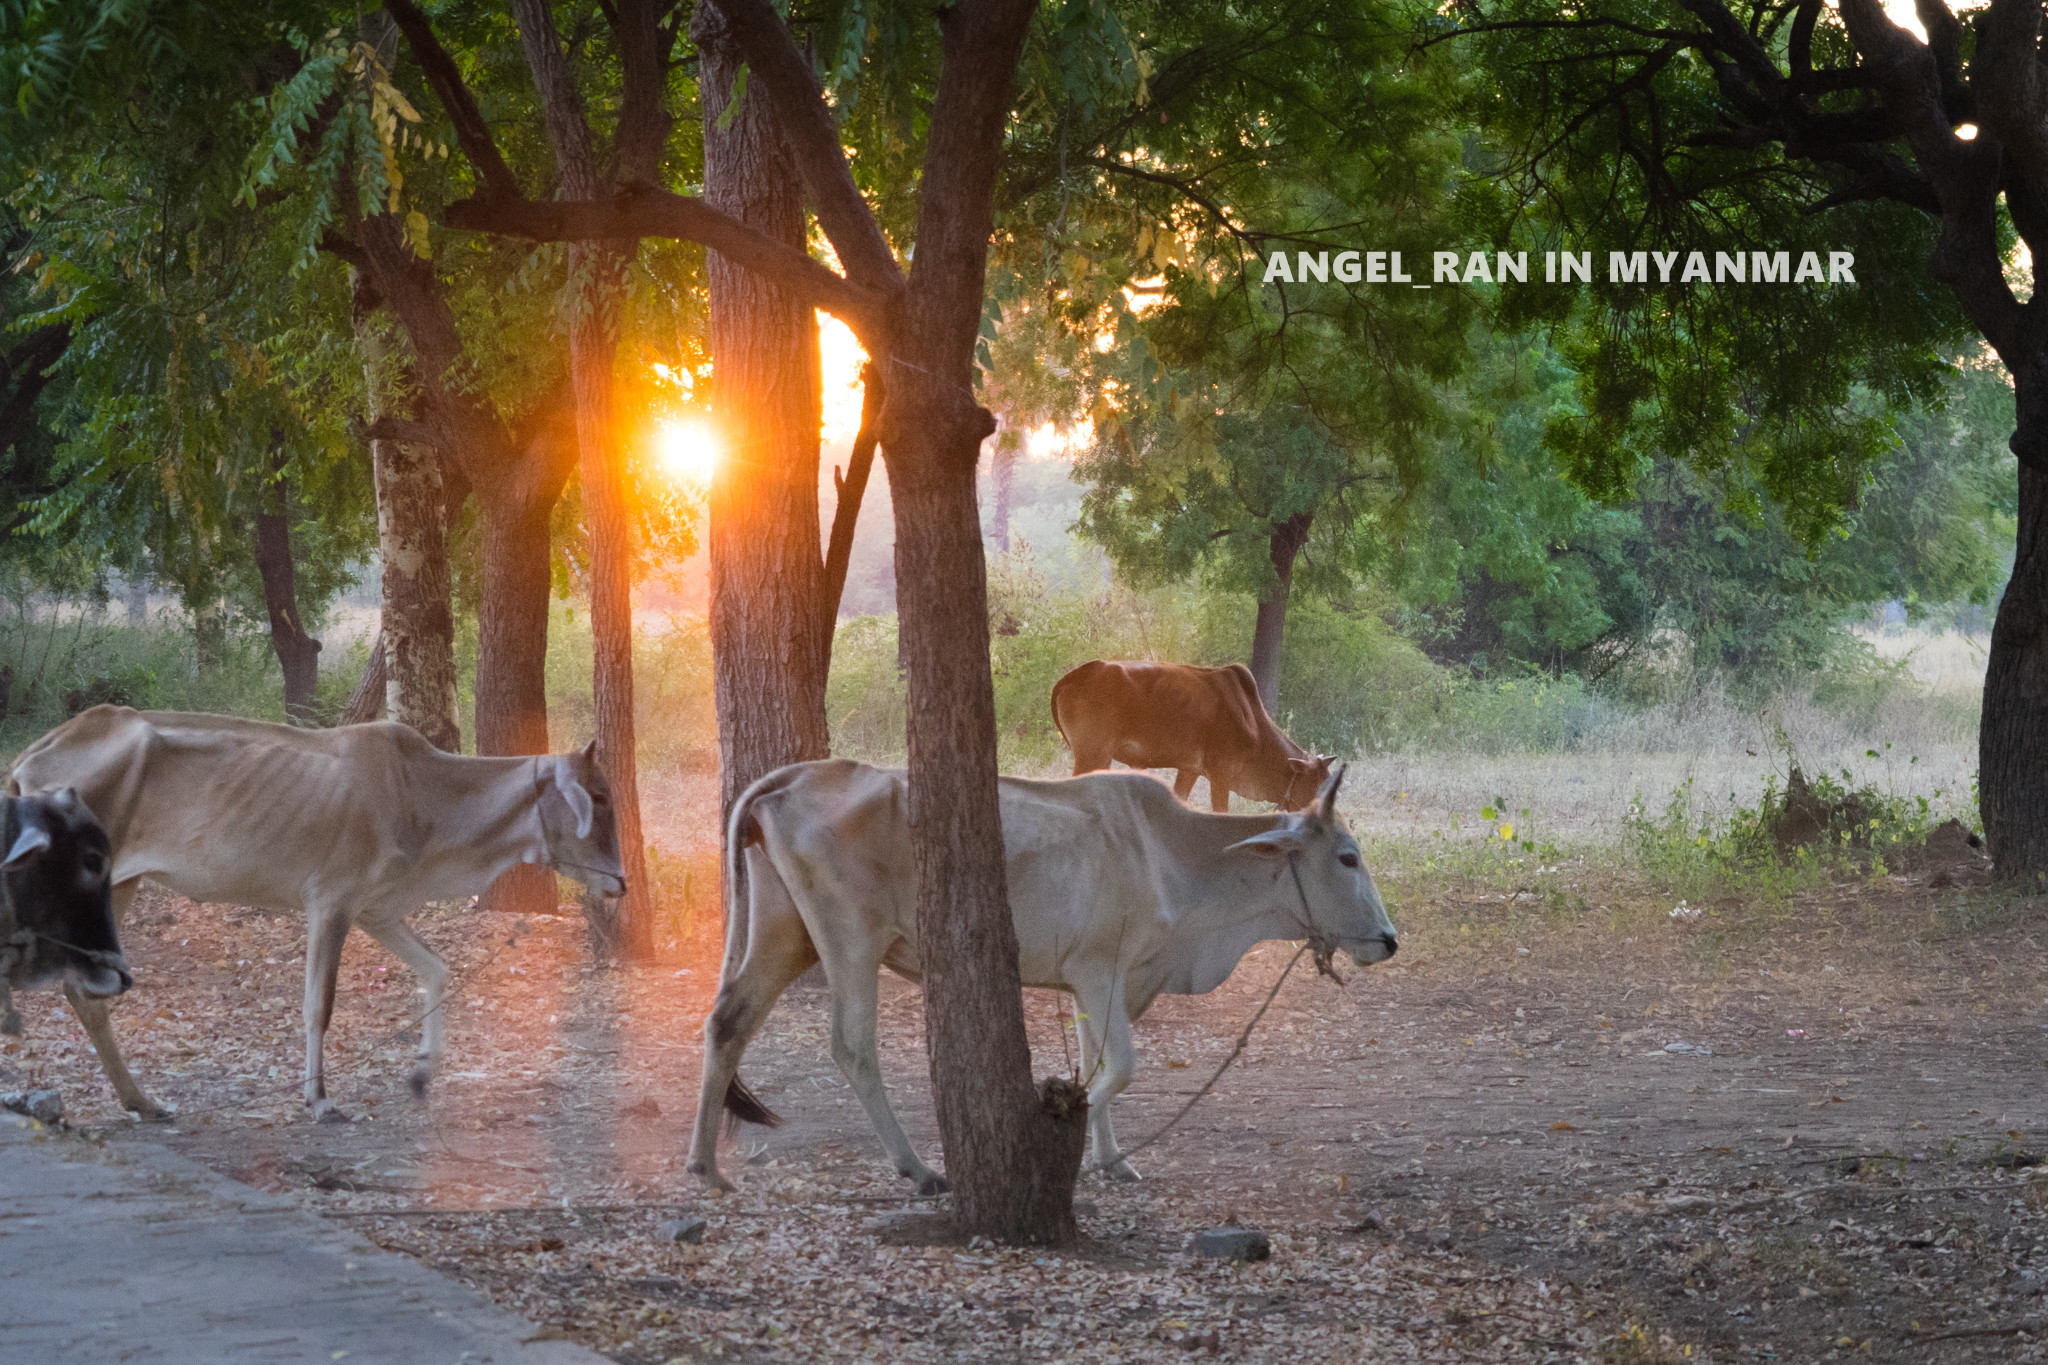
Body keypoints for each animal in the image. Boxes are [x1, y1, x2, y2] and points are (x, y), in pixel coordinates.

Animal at [688, 757, 1392, 1195]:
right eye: (1347, 857)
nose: (1388, 940)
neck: (1169, 854)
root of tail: (799, 775)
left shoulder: (1094, 986)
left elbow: (1097, 1061)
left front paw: (1111, 1158)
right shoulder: (1099, 970)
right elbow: (1118, 1069)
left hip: (786, 935)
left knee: (729, 1021)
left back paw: (704, 1166)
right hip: (851, 941)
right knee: (853, 1048)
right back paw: (918, 1168)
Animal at [1056, 663, 1327, 810]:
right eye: (1317, 785)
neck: (1255, 729)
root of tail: (1076, 674)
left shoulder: (1190, 770)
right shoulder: (1221, 776)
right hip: (1093, 756)